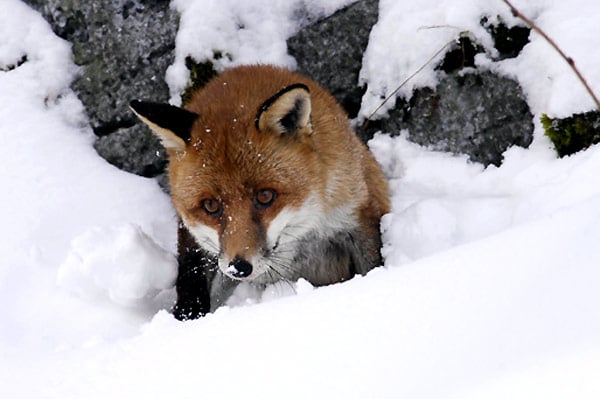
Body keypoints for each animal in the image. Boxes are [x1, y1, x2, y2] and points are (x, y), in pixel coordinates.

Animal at [130, 65, 390, 322]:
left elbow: (372, 265)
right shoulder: (196, 244)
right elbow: (192, 284)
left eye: (265, 196)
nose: (239, 267)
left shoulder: (356, 214)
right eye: (210, 206)